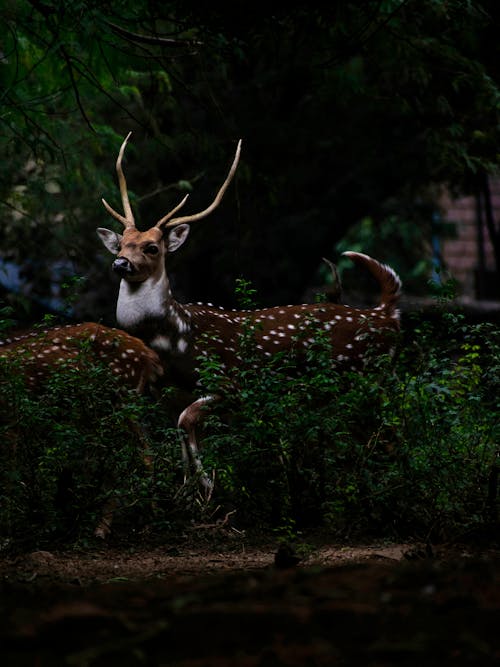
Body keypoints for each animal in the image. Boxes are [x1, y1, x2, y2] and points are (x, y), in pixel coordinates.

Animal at [0, 320, 164, 536]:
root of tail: (147, 352)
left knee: (127, 457)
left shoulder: (11, 419)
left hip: (117, 401)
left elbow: (8, 476)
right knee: (138, 453)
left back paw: (111, 526)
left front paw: (6, 533)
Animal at [96, 136, 402, 490]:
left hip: (359, 374)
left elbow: (187, 421)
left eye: (152, 248)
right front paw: (190, 490)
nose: (120, 263)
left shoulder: (231, 381)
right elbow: (182, 434)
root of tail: (385, 315)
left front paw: (210, 486)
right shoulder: (164, 393)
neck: (176, 338)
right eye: (122, 244)